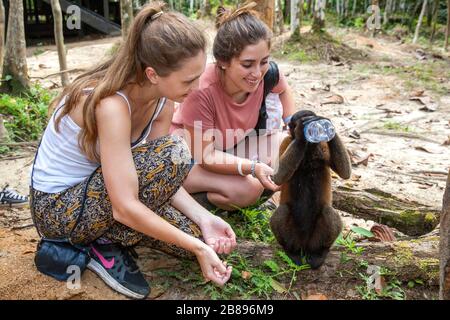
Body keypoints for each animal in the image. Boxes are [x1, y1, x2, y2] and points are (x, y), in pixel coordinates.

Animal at [268, 110, 354, 270]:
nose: (312, 125)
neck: (308, 151)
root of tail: (305, 245)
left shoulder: (323, 145)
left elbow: (345, 173)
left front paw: (327, 124)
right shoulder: (286, 141)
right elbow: (277, 178)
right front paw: (301, 134)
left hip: (315, 239)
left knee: (328, 212)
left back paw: (320, 252)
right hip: (294, 238)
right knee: (283, 211)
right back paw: (291, 251)